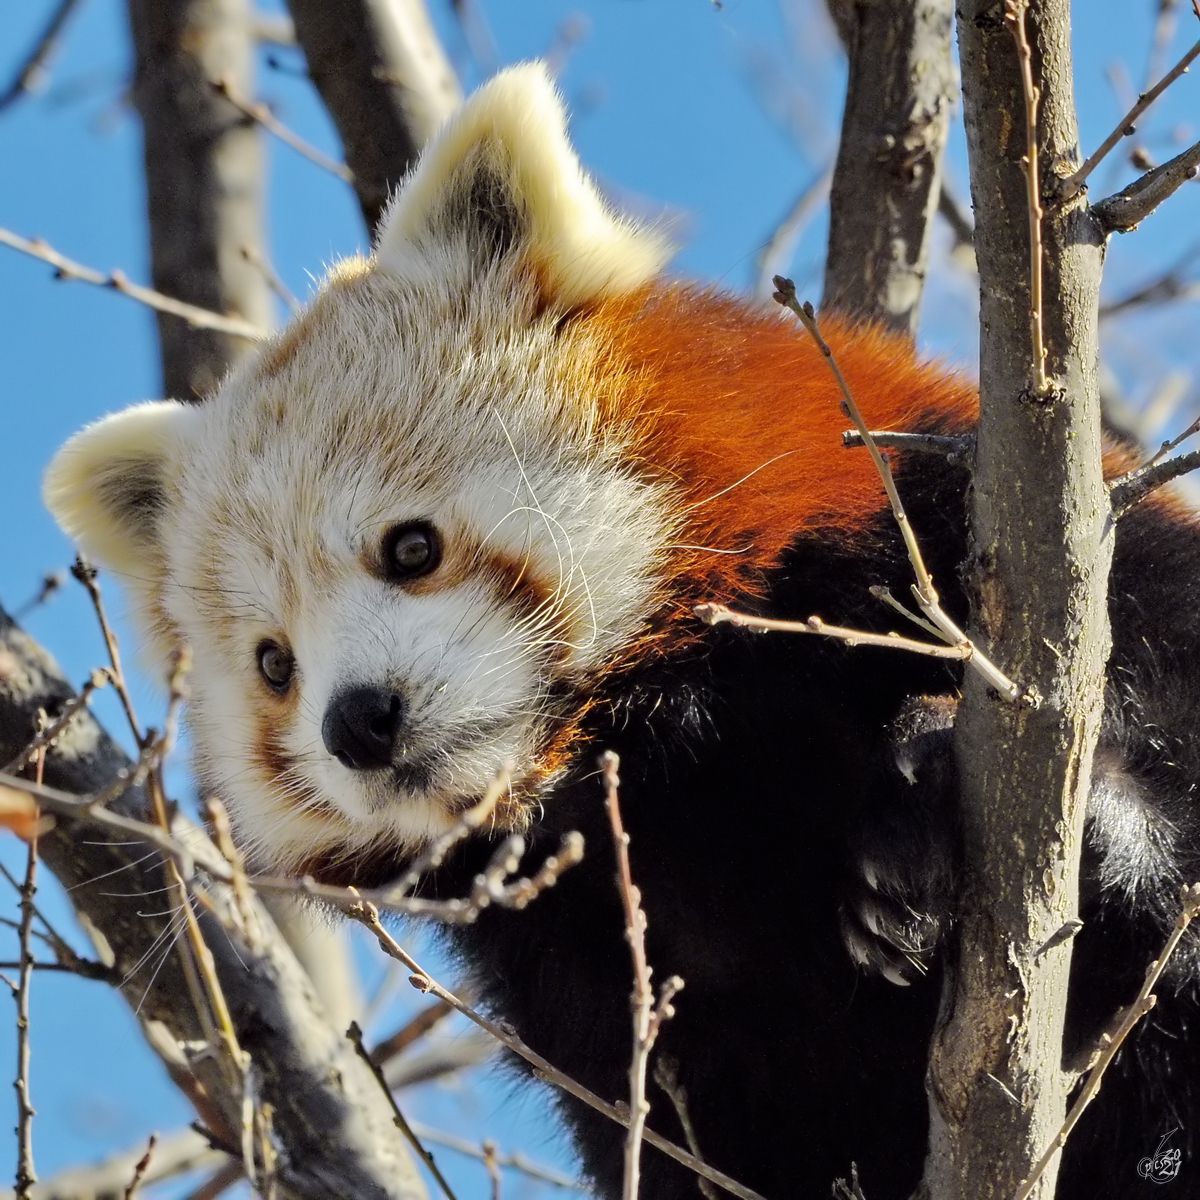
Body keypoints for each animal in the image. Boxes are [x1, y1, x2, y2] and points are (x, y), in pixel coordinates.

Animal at [42, 63, 1200, 1200]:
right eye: (274, 664)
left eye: (409, 548)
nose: (357, 722)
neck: (667, 744)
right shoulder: (589, 979)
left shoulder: (967, 518)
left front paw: (1062, 817)